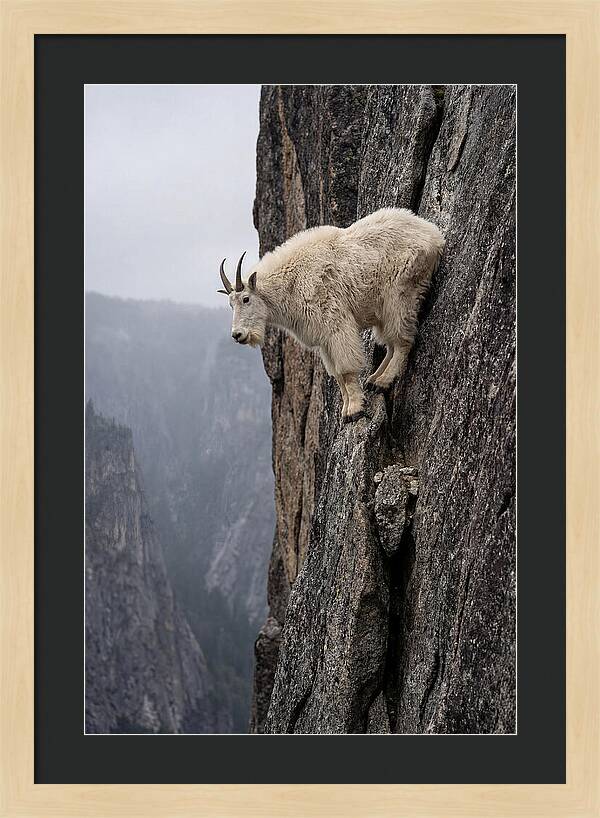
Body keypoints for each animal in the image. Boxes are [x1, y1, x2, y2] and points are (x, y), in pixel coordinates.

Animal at [218, 208, 445, 421]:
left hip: (400, 294)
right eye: (230, 304)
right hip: (382, 309)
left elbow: (345, 370)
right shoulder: (324, 340)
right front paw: (345, 410)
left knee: (402, 340)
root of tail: (434, 235)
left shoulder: (336, 324)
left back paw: (383, 381)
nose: (237, 335)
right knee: (390, 343)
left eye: (246, 299)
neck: (291, 283)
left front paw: (355, 410)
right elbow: (336, 375)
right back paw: (373, 379)